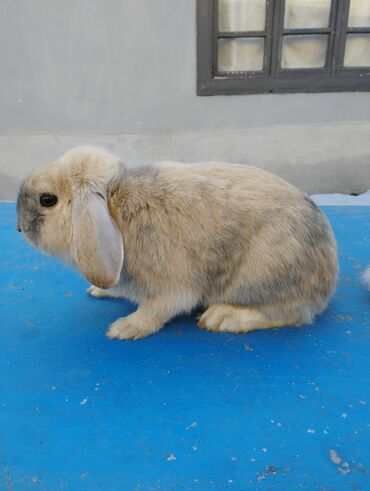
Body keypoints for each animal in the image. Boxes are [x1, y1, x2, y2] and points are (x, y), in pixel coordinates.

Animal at [15, 144, 336, 340]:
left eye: (47, 200)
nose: (18, 227)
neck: (115, 208)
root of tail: (328, 277)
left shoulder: (172, 288)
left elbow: (157, 310)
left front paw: (125, 328)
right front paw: (99, 290)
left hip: (263, 277)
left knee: (289, 314)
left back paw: (223, 318)